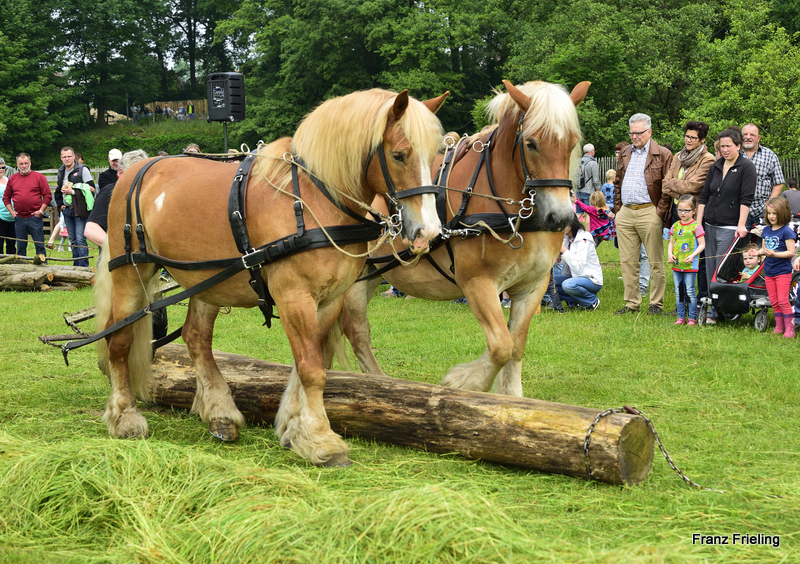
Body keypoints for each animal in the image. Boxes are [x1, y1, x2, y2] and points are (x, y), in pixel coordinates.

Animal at [93, 87, 448, 467]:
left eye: (436, 155)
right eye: (399, 155)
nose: (428, 232)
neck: (313, 199)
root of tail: (135, 171)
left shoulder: (329, 300)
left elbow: (310, 363)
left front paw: (295, 427)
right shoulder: (294, 295)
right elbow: (311, 369)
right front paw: (321, 439)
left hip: (206, 281)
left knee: (196, 339)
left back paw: (219, 411)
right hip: (131, 276)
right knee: (119, 340)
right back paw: (124, 415)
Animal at [331, 80, 589, 397]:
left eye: (571, 142)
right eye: (531, 143)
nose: (561, 217)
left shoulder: (533, 286)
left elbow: (516, 346)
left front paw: (512, 397)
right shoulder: (477, 282)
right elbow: (501, 346)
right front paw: (464, 382)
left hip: (373, 273)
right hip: (354, 279)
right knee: (357, 332)